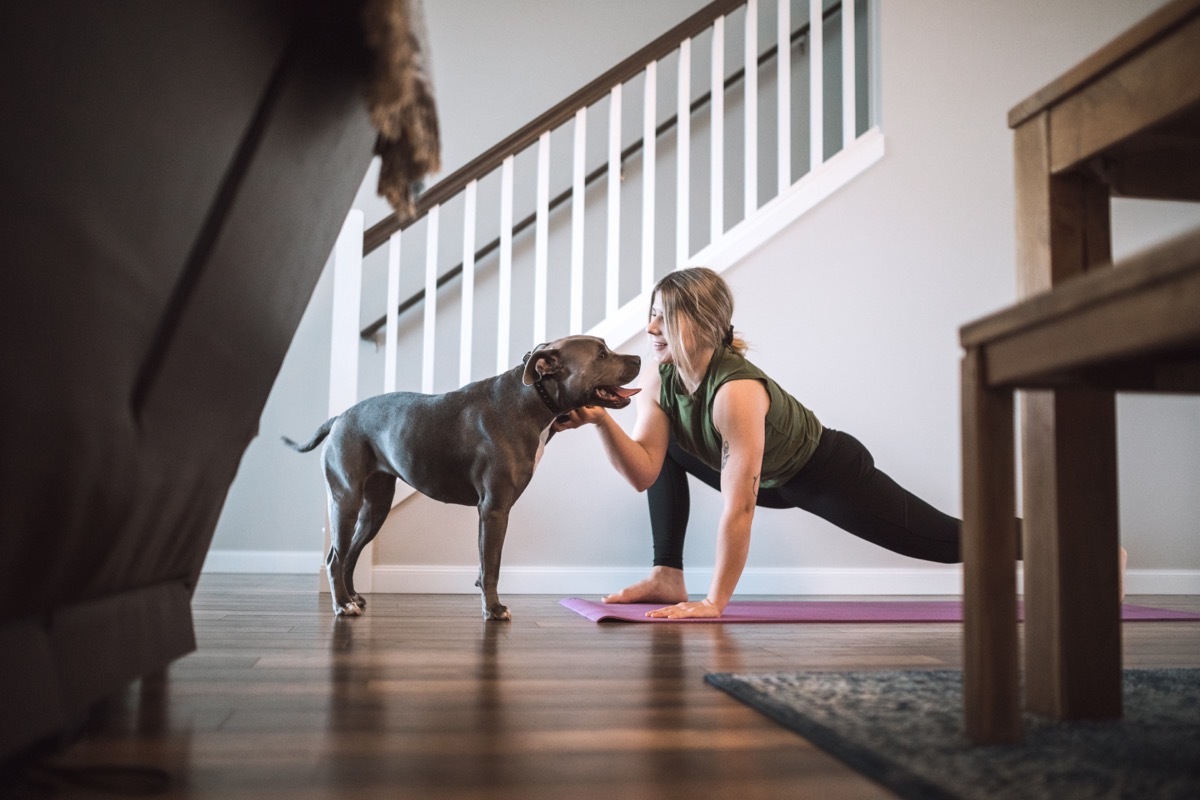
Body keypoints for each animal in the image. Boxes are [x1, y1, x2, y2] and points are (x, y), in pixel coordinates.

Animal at [285, 335, 643, 623]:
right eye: (601, 355)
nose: (640, 359)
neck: (533, 399)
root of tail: (339, 417)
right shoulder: (494, 510)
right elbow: (492, 566)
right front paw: (494, 610)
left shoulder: (491, 512)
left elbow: (485, 566)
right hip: (345, 500)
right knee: (335, 558)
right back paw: (342, 606)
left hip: (375, 509)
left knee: (350, 555)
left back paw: (352, 598)